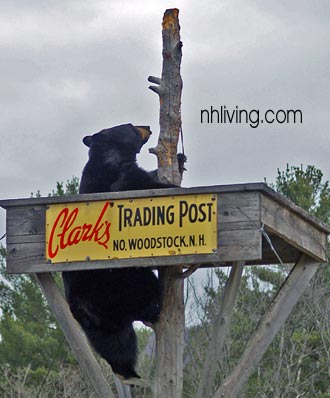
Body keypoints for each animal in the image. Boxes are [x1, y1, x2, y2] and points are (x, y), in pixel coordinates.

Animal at [61, 123, 175, 378]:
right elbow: (145, 186)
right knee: (144, 293)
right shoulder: (119, 179)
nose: (147, 126)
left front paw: (180, 159)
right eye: (131, 126)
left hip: (101, 323)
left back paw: (128, 372)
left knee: (117, 344)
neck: (109, 155)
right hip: (118, 283)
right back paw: (154, 307)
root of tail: (80, 308)